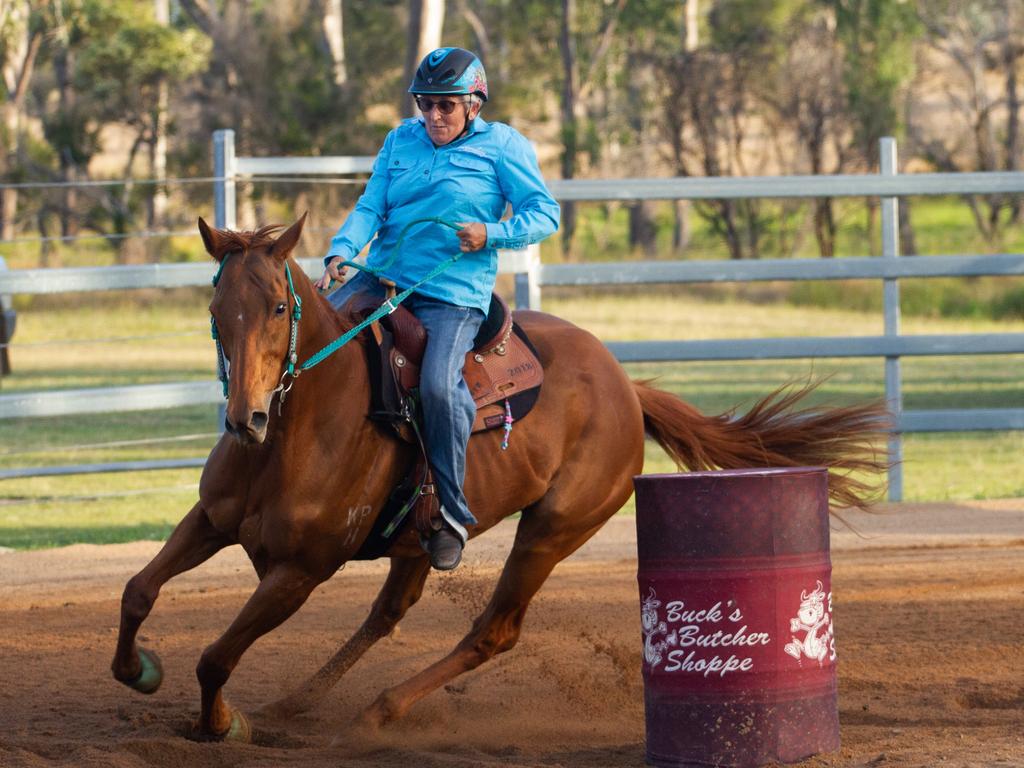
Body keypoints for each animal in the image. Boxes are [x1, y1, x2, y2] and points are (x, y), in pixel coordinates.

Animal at [108, 215, 884, 741]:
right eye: (216, 312)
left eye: (276, 307)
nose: (246, 417)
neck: (299, 431)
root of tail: (626, 387)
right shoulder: (210, 521)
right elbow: (138, 589)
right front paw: (138, 670)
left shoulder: (299, 572)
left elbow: (215, 656)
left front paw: (221, 723)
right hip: (422, 541)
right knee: (388, 613)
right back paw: (296, 703)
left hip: (553, 528)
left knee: (494, 630)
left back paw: (380, 709)